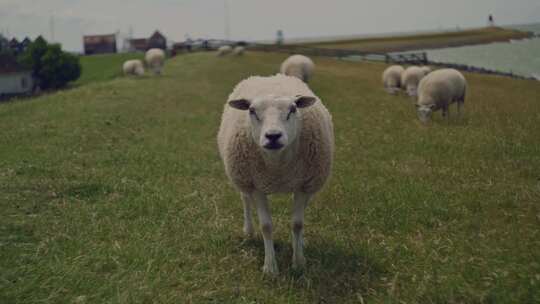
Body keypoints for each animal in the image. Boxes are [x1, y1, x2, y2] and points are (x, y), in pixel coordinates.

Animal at [216, 73, 334, 276]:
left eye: (293, 109)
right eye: (252, 110)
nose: (273, 136)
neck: (278, 167)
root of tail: (270, 76)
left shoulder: (303, 186)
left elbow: (297, 224)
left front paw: (298, 262)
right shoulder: (257, 186)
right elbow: (266, 226)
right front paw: (270, 267)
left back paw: (300, 241)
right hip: (243, 178)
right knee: (245, 200)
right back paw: (248, 231)